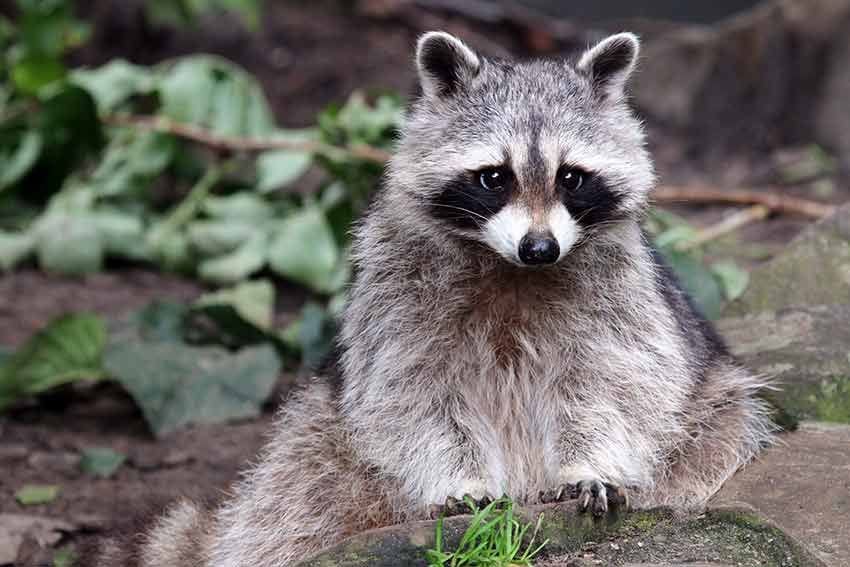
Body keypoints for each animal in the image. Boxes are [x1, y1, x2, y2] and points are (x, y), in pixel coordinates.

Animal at [94, 32, 776, 567]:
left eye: (571, 177)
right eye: (494, 177)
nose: (539, 248)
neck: (510, 269)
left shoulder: (623, 295)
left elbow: (618, 382)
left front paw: (590, 465)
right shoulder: (395, 294)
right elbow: (412, 397)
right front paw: (460, 478)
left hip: (716, 399)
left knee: (716, 428)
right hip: (320, 435)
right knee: (298, 493)